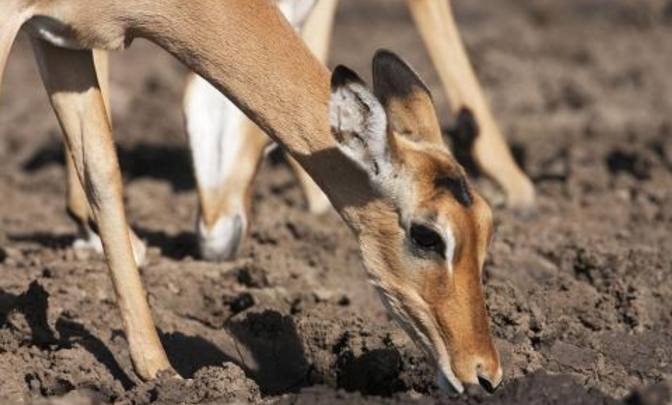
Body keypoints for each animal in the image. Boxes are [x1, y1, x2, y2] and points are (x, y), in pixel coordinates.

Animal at [1, 0, 504, 392]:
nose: (485, 374)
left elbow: (102, 171)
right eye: (427, 235)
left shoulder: (62, 42)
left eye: (486, 223)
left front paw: (160, 371)